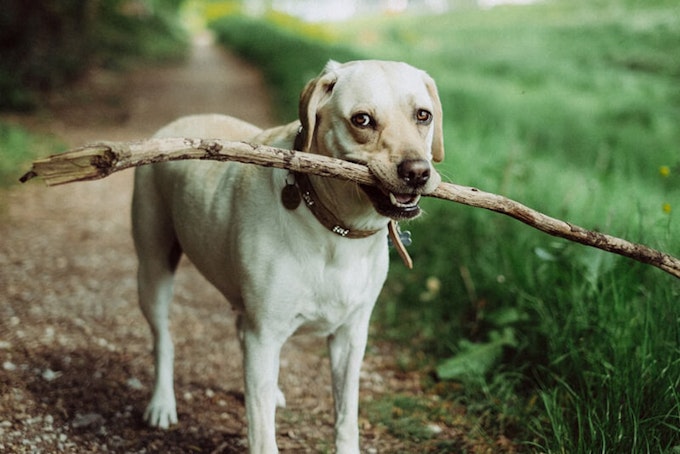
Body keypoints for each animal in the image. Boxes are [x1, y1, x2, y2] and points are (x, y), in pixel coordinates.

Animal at [130, 60, 444, 454]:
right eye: (362, 120)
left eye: (423, 115)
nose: (417, 172)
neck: (335, 230)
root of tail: (172, 125)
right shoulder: (265, 334)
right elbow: (263, 434)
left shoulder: (350, 336)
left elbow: (346, 418)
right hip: (153, 270)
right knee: (164, 341)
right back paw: (161, 404)